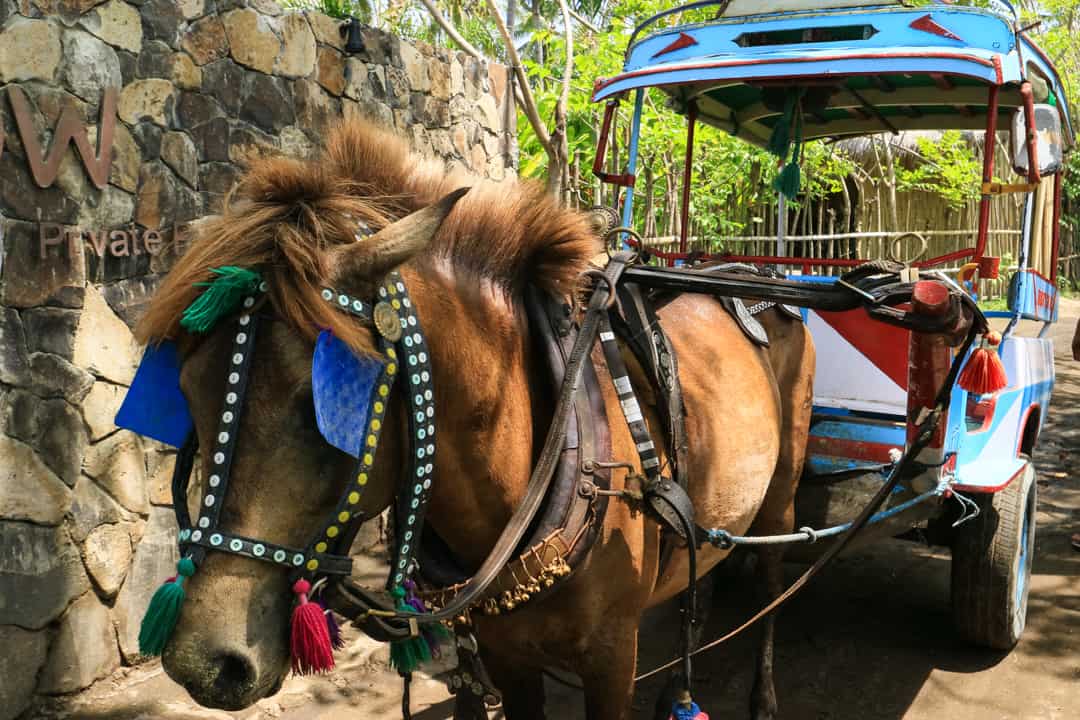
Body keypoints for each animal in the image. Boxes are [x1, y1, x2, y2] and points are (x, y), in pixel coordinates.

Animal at [137, 120, 812, 716]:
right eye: (187, 390)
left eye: (326, 406)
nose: (205, 663)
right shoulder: (506, 654)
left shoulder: (613, 659)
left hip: (782, 492)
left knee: (774, 581)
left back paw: (764, 693)